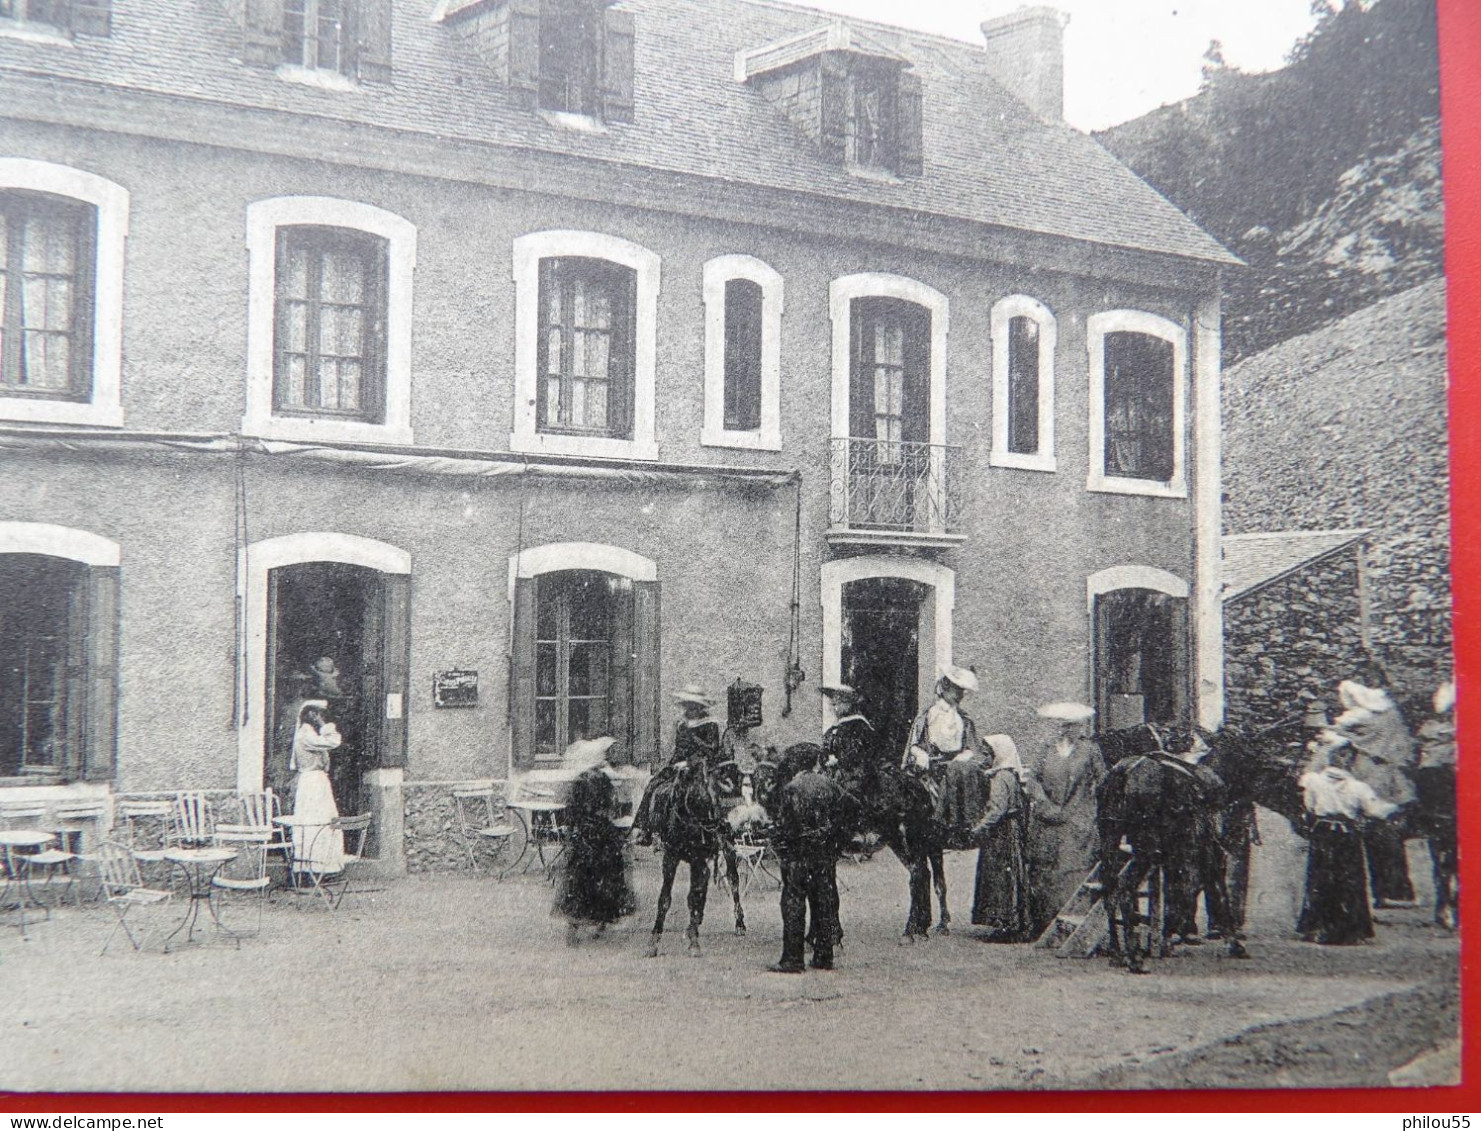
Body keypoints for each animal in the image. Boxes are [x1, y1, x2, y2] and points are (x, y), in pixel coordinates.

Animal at [642, 754, 746, 959]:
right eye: (725, 784)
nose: (734, 825)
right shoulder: (671, 857)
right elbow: (665, 898)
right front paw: (654, 942)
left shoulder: (699, 858)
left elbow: (694, 896)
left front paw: (694, 941)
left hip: (725, 852)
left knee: (733, 880)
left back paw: (739, 923)